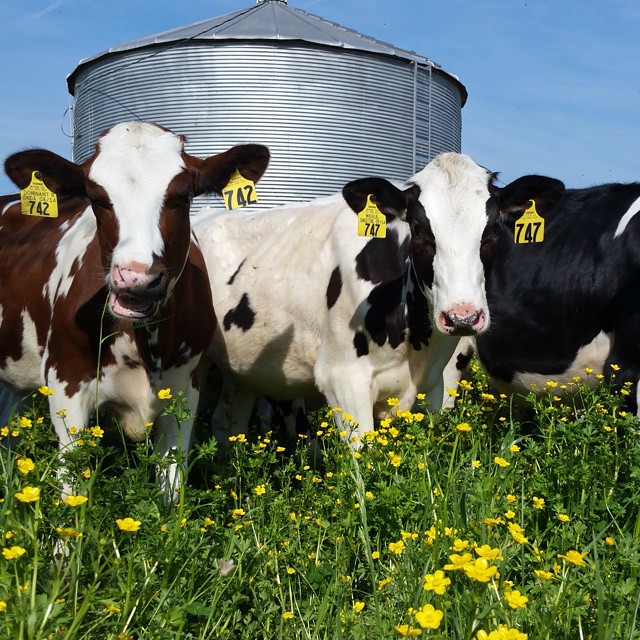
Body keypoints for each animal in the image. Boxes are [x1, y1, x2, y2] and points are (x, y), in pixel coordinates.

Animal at [1, 121, 268, 500]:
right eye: (97, 198)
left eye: (181, 198)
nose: (136, 277)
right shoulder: (66, 384)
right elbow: (72, 491)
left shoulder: (185, 389)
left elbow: (171, 489)